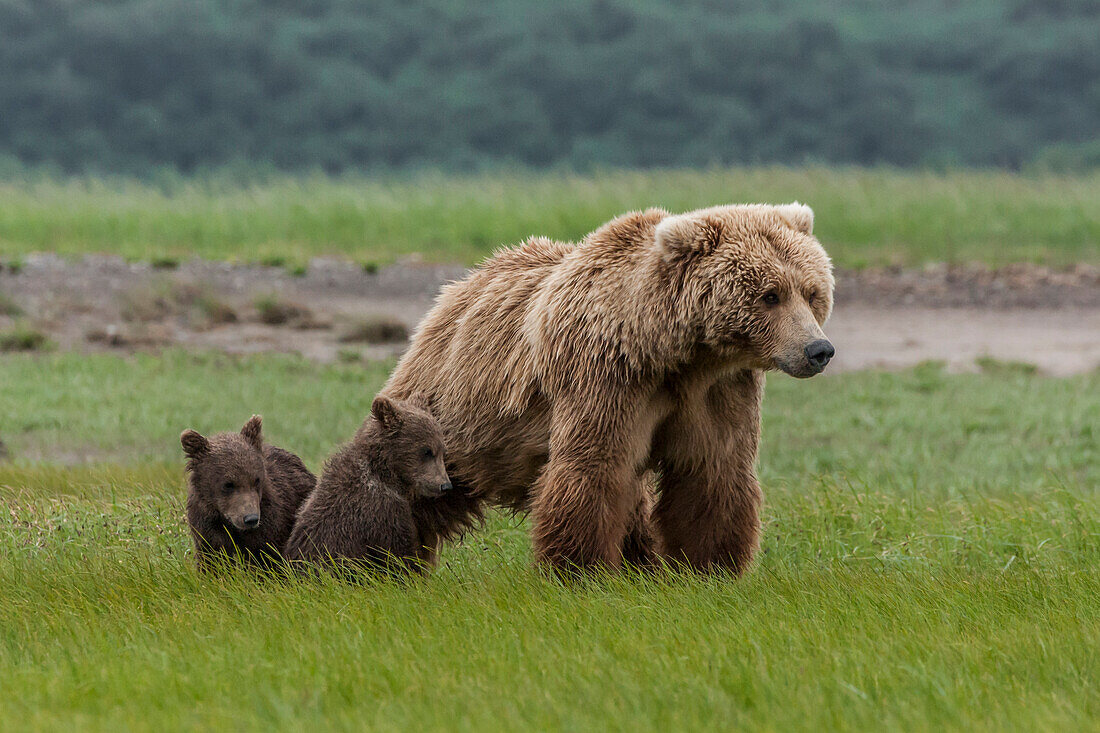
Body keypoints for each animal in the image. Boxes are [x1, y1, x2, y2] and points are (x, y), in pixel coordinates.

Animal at [385, 202, 831, 572]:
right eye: (770, 295)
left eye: (811, 292)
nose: (818, 349)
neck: (674, 352)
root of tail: (460, 284)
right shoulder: (607, 378)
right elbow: (594, 469)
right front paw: (579, 568)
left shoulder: (717, 389)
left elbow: (712, 471)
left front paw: (708, 566)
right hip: (459, 411)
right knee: (425, 472)